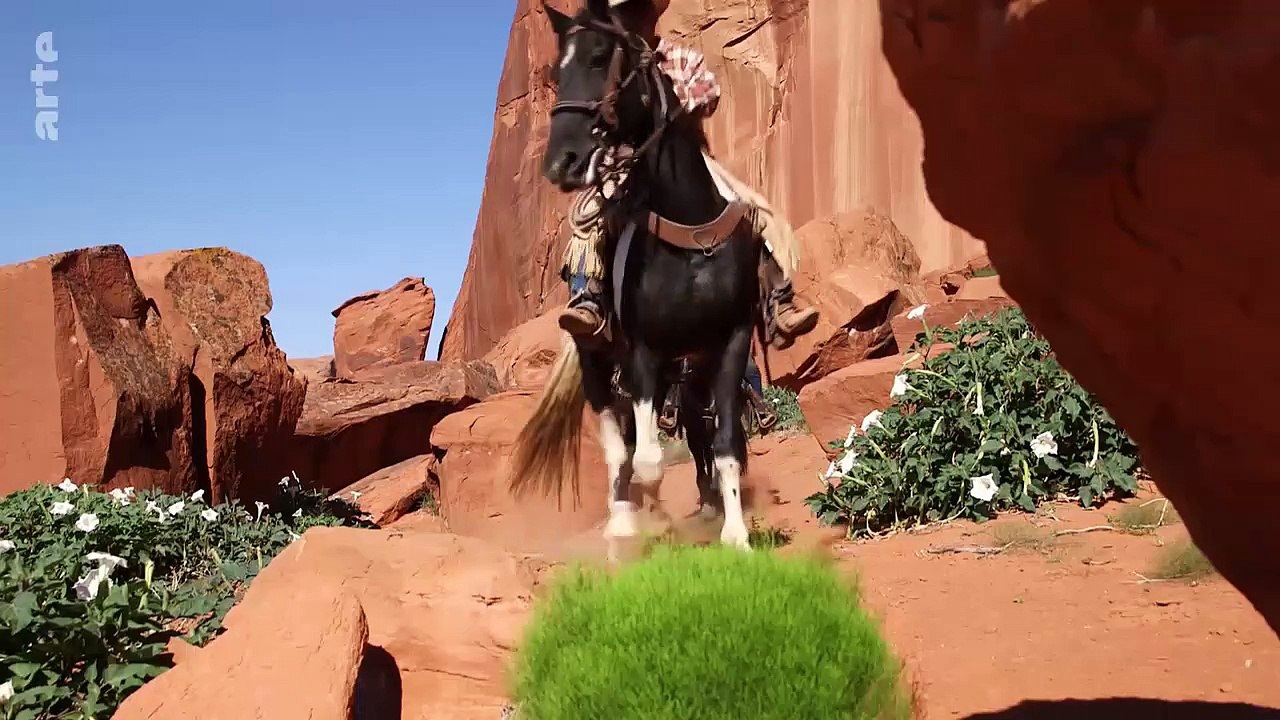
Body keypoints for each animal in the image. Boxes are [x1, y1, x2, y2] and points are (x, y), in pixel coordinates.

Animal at [506, 0, 765, 560]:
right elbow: (645, 459)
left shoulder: (730, 343)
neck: (690, 235)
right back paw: (623, 522)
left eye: (601, 56)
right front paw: (653, 529)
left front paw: (735, 535)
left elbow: (727, 443)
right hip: (601, 366)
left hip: (685, 372)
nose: (561, 163)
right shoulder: (644, 350)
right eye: (554, 73)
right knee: (616, 443)